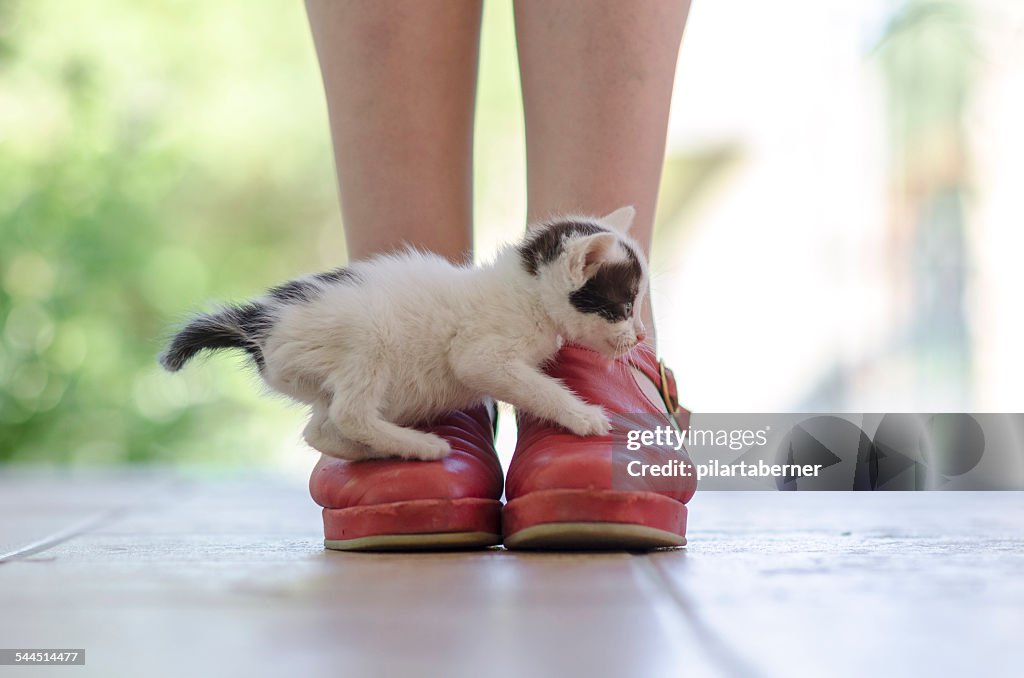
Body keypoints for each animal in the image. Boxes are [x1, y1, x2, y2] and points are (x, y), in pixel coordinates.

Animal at [159, 206, 647, 462]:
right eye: (624, 307)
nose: (641, 336)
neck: (525, 292)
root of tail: (259, 320)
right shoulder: (479, 354)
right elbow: (532, 385)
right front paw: (582, 416)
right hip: (367, 339)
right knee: (350, 412)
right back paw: (420, 446)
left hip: (314, 378)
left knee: (319, 428)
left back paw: (370, 452)